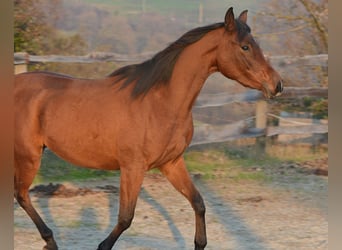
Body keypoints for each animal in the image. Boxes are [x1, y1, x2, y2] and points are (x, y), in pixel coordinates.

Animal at [14, 7, 284, 250]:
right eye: (245, 47)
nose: (277, 84)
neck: (159, 102)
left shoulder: (172, 163)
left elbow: (198, 203)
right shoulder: (133, 167)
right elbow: (125, 218)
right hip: (28, 155)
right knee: (21, 194)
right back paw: (50, 241)